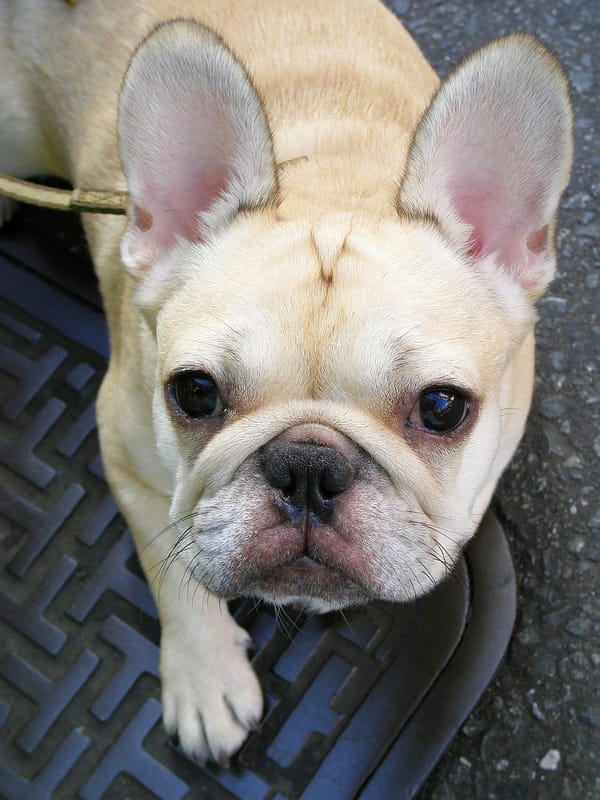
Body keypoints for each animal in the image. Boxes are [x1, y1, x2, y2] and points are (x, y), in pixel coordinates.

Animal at [0, 0, 572, 764]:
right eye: (195, 393)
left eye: (443, 408)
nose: (307, 466)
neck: (332, 179)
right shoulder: (125, 450)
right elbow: (168, 561)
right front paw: (205, 676)